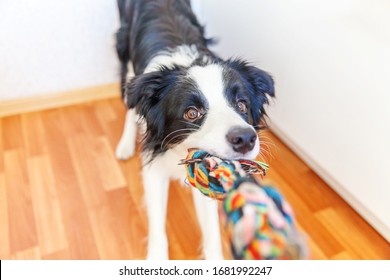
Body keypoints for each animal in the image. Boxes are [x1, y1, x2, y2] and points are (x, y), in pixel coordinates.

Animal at [116, 0, 274, 260]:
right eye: (192, 113)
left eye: (241, 104)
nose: (245, 139)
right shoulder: (154, 167)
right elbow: (157, 225)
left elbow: (211, 233)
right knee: (130, 105)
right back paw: (125, 144)